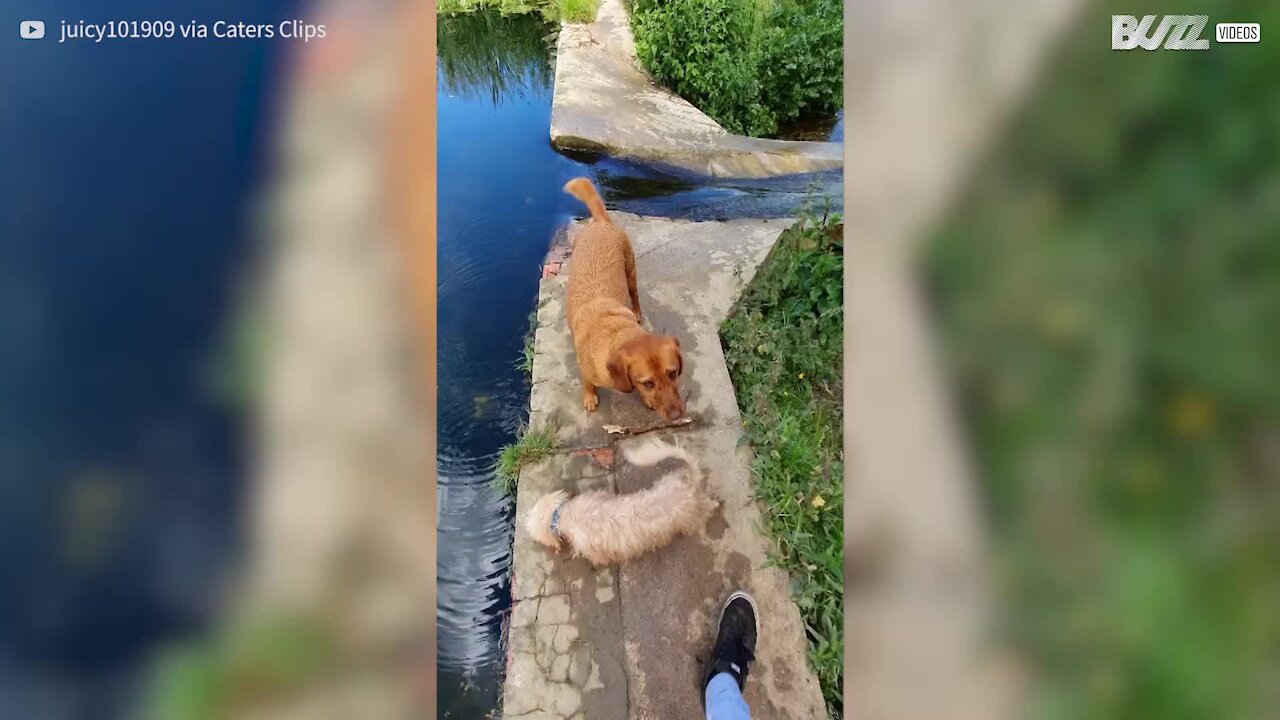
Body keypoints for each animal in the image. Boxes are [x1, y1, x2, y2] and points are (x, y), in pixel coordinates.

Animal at [565, 175, 686, 417]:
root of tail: (601, 222)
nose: (677, 416)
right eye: (647, 383)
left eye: (672, 373)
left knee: (635, 295)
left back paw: (638, 312)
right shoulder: (585, 369)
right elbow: (587, 383)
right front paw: (589, 397)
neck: (616, 332)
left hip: (630, 273)